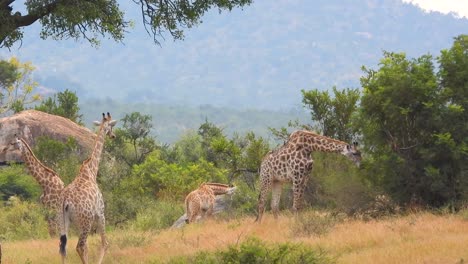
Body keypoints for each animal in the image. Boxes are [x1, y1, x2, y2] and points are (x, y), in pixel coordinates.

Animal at [58, 113, 117, 264]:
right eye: (111, 126)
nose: (113, 136)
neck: (91, 170)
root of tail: (66, 202)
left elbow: (88, 248)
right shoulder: (100, 212)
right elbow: (105, 243)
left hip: (64, 221)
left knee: (63, 247)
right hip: (87, 221)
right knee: (79, 246)